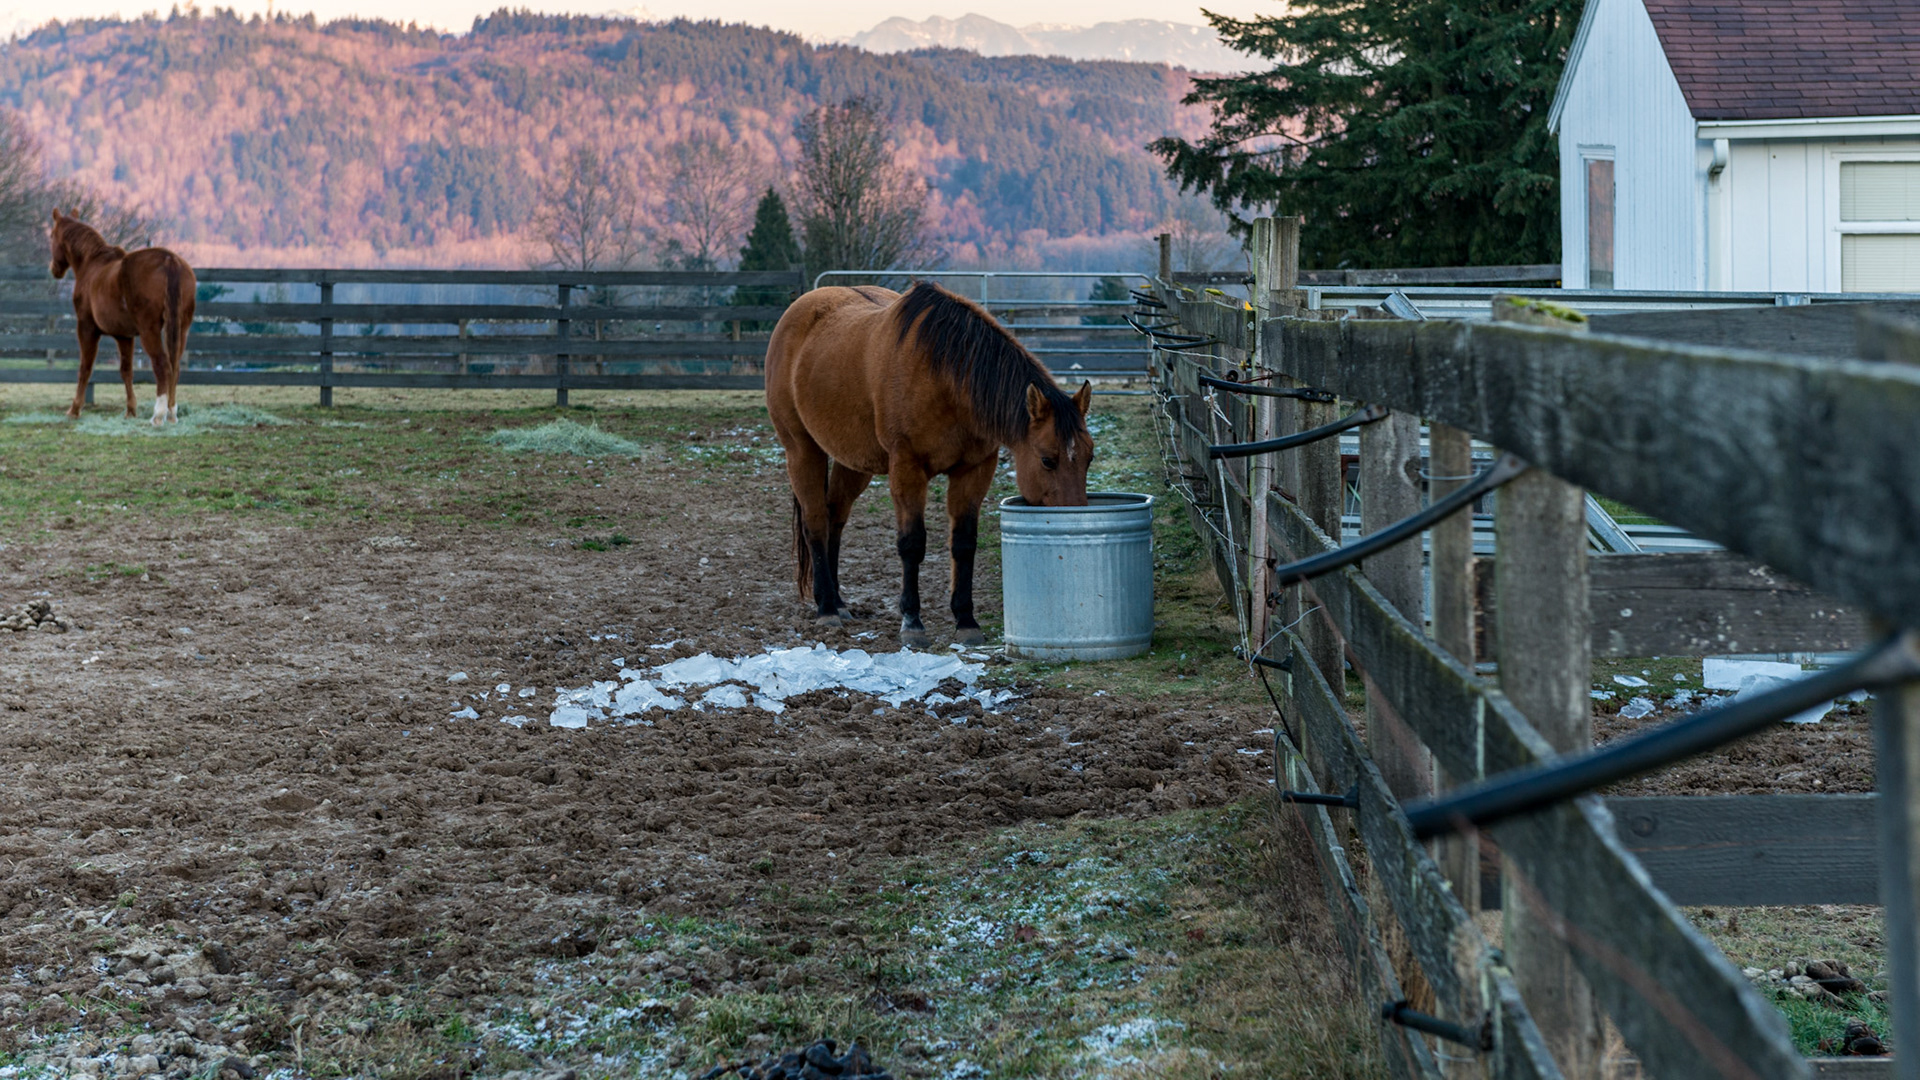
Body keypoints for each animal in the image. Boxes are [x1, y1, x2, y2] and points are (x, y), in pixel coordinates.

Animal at [48, 209, 195, 425]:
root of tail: (170, 260)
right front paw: (131, 410)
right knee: (174, 366)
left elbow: (85, 367)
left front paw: (74, 409)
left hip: (149, 331)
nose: (54, 269)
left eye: (52, 236)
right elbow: (126, 370)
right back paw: (171, 414)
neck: (92, 263)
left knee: (162, 365)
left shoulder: (86, 328)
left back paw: (158, 415)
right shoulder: (124, 336)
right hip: (181, 329)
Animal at [766, 281, 1095, 648]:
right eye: (1048, 460)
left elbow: (964, 543)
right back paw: (826, 609)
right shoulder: (907, 468)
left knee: (835, 517)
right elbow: (912, 543)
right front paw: (912, 622)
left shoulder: (975, 469)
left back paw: (838, 601)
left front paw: (966, 621)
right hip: (802, 450)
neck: (945, 379)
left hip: (854, 461)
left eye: (1090, 457)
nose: (1076, 517)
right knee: (816, 523)